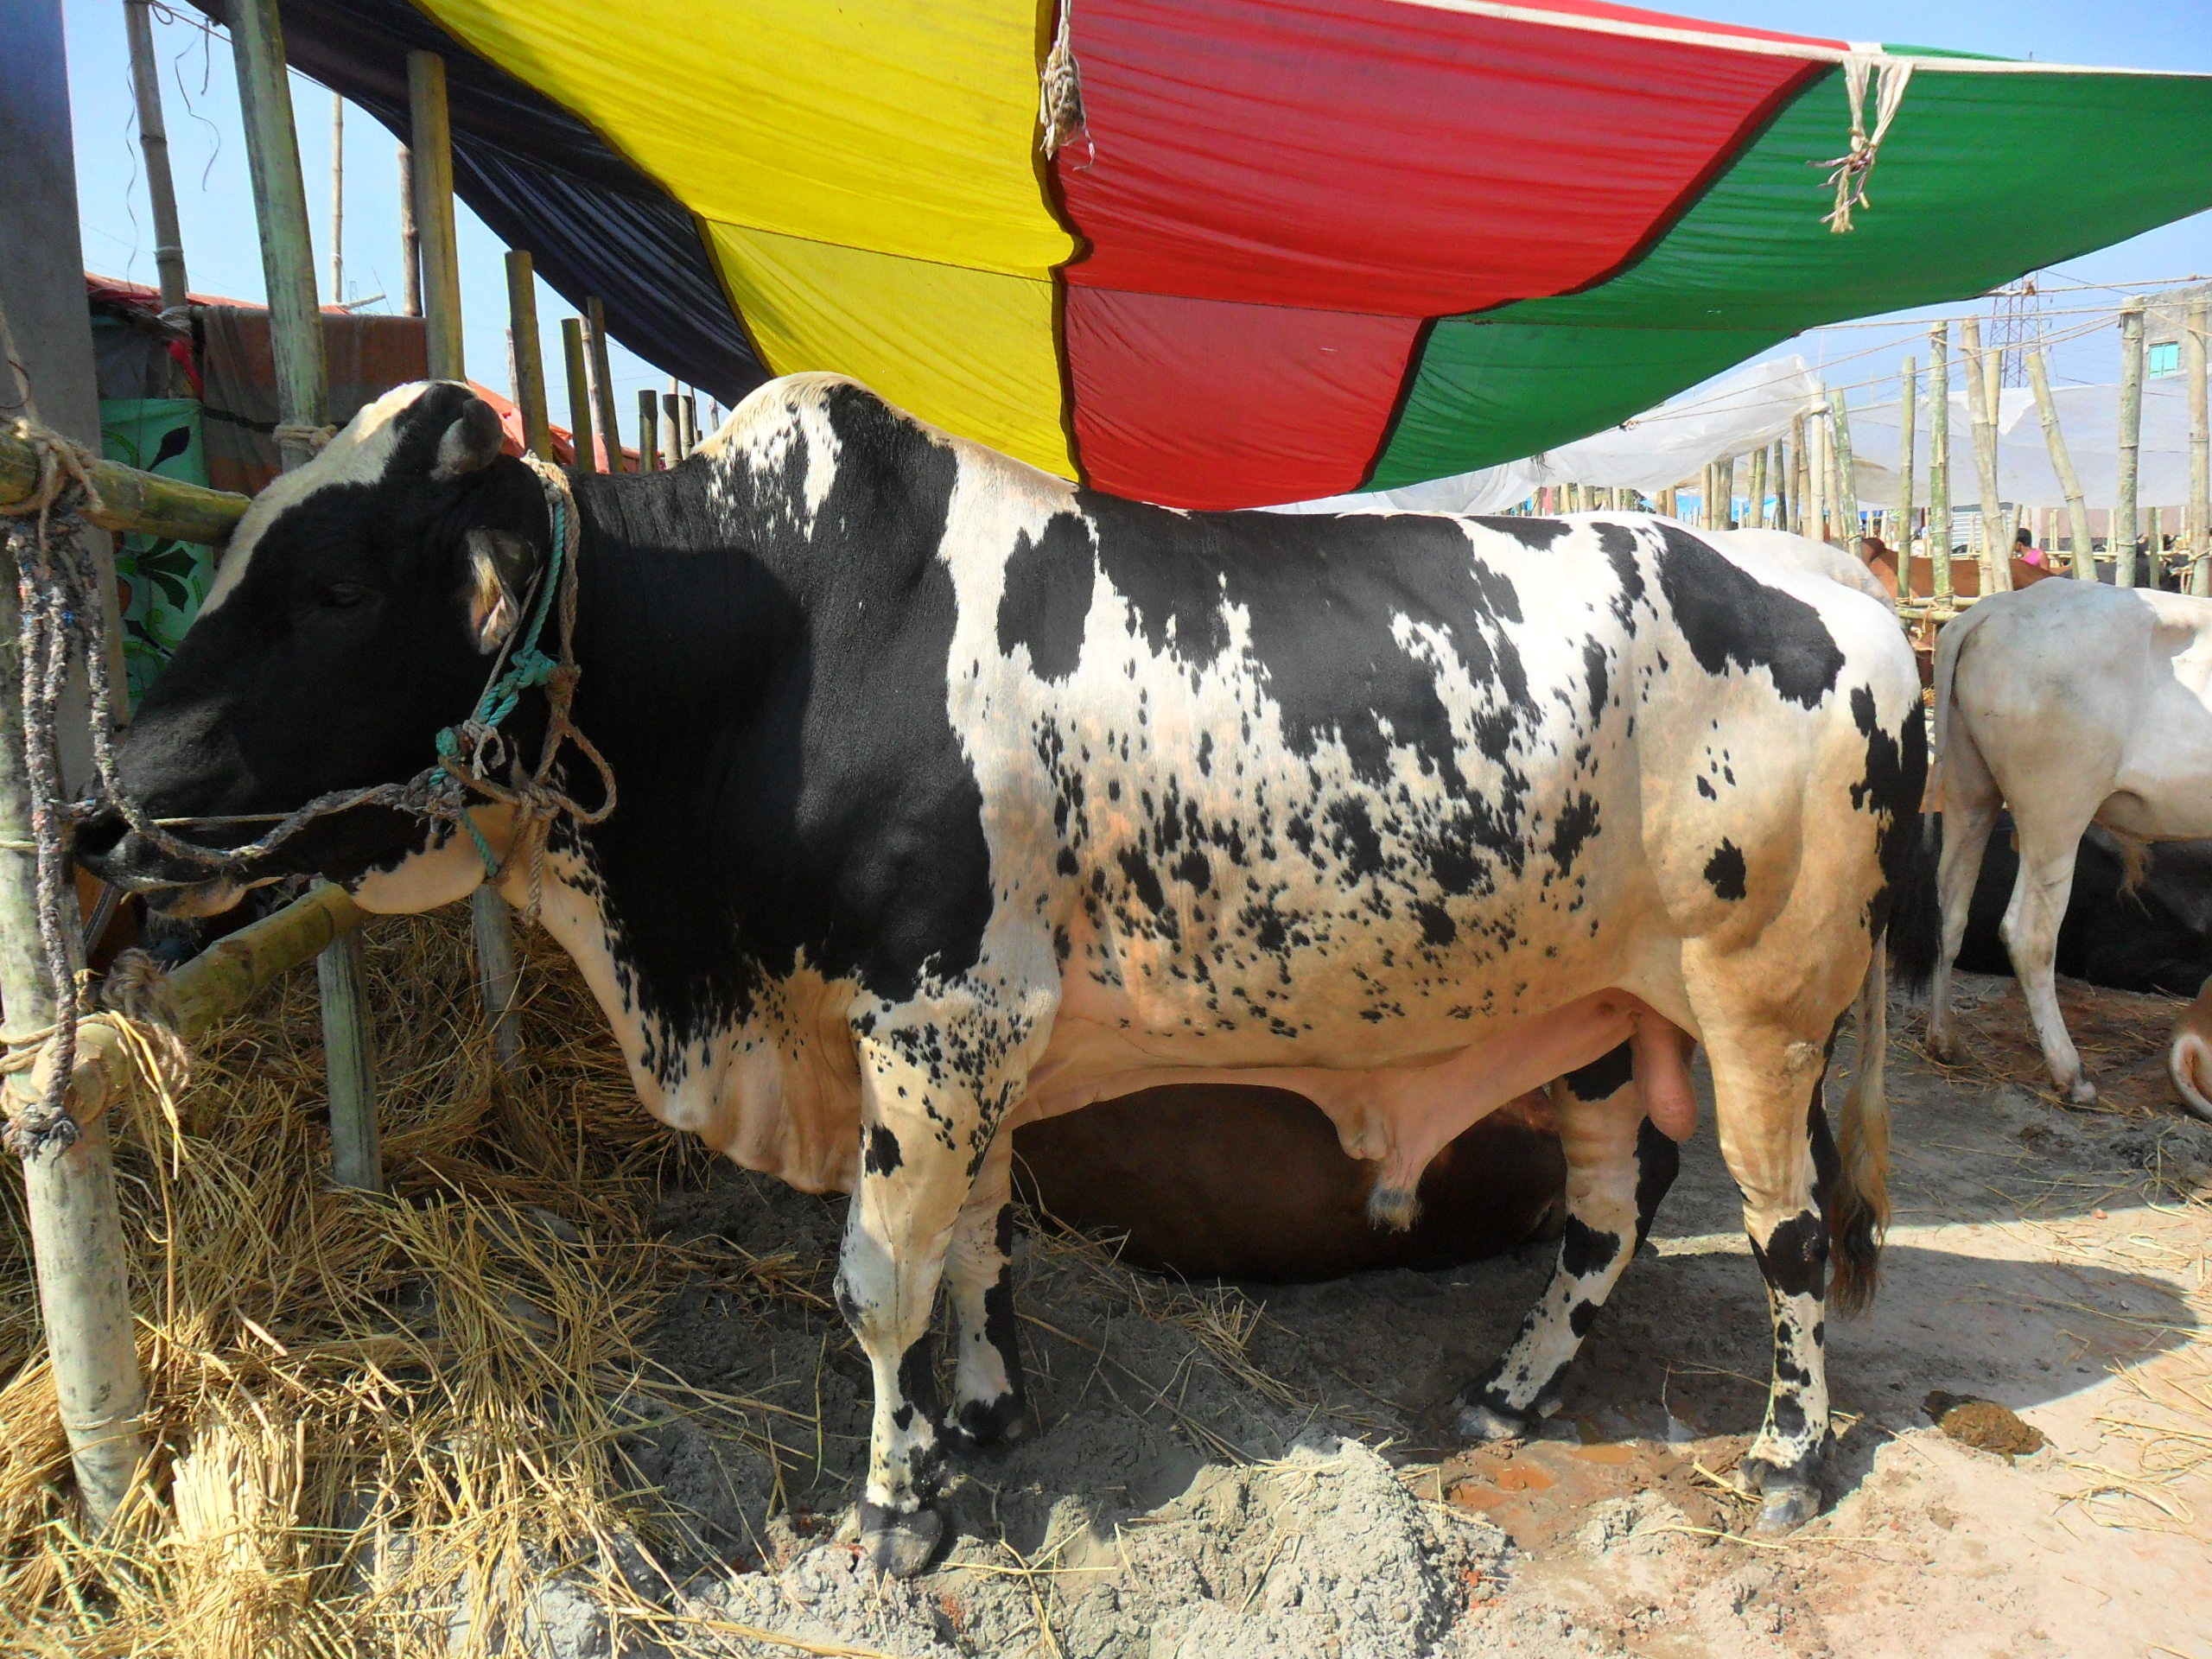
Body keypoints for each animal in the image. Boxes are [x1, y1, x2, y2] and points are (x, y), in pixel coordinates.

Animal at [78, 376, 1929, 1574]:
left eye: (333, 585)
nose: (107, 813)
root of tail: (1835, 573)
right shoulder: (963, 1052)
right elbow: (970, 1244)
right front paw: (975, 1419)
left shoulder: (935, 1023)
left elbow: (879, 1278)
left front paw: (896, 1510)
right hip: (1590, 1015)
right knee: (1608, 1211)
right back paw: (1511, 1393)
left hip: (1763, 1006)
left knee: (1785, 1235)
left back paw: (1783, 1463)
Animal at [1920, 579, 2212, 1106]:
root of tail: (1997, 608)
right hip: (2056, 809)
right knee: (2029, 935)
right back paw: (2070, 1074)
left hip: (1970, 789)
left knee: (1950, 911)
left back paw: (1945, 1040)